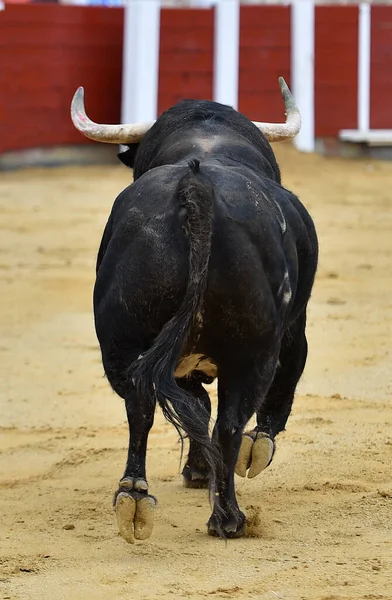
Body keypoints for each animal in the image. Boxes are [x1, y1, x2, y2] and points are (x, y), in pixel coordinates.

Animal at [71, 86, 318, 540]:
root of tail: (196, 187)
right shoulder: (295, 330)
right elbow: (271, 397)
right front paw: (251, 452)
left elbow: (194, 408)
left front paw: (198, 470)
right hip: (254, 351)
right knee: (231, 422)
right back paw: (229, 518)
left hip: (121, 340)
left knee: (139, 405)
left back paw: (134, 497)